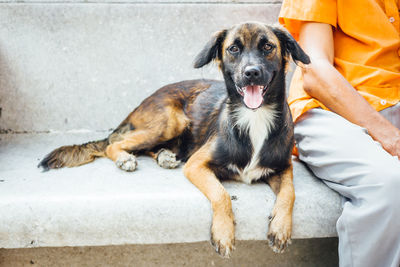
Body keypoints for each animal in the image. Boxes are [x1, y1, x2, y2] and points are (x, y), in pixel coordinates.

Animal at [39, 22, 310, 258]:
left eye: (268, 46)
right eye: (234, 48)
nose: (251, 73)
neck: (254, 117)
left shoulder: (283, 167)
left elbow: (290, 193)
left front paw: (280, 229)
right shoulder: (196, 165)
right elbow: (221, 194)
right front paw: (223, 233)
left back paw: (165, 157)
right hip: (171, 121)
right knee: (114, 144)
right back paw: (126, 159)